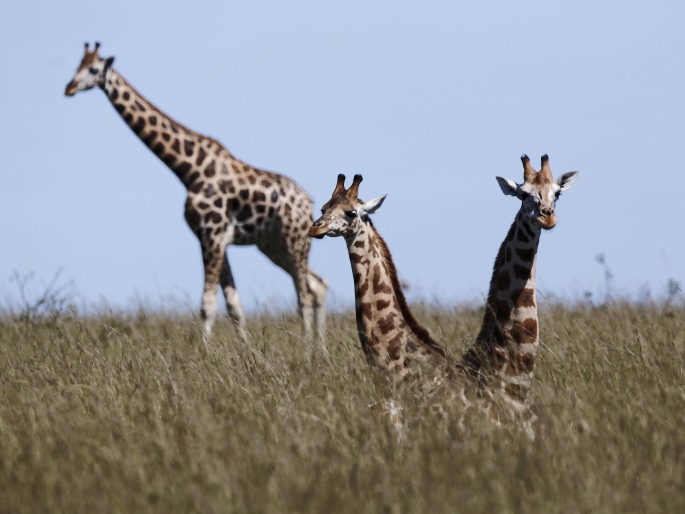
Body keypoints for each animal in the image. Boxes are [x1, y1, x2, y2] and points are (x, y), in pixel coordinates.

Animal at [65, 42, 328, 342]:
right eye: (77, 66)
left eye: (93, 69)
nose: (69, 88)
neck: (189, 170)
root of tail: (308, 202)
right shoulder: (216, 239)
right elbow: (234, 305)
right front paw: (246, 350)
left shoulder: (211, 236)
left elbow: (207, 305)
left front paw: (206, 350)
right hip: (273, 245)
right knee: (317, 286)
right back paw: (320, 347)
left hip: (293, 241)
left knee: (304, 294)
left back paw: (307, 347)